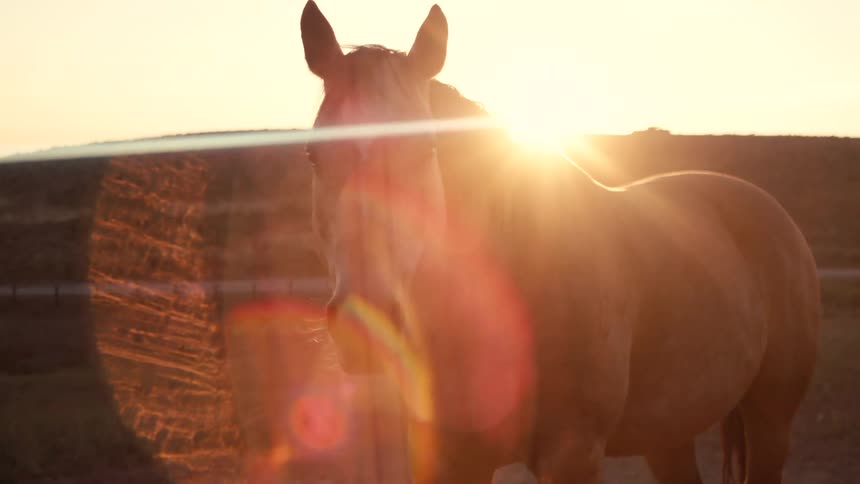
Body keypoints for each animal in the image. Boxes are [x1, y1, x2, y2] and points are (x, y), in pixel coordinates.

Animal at [298, 2, 821, 483]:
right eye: (313, 155)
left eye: (426, 150)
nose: (364, 322)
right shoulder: (450, 457)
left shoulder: (573, 454)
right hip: (670, 433)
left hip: (770, 422)